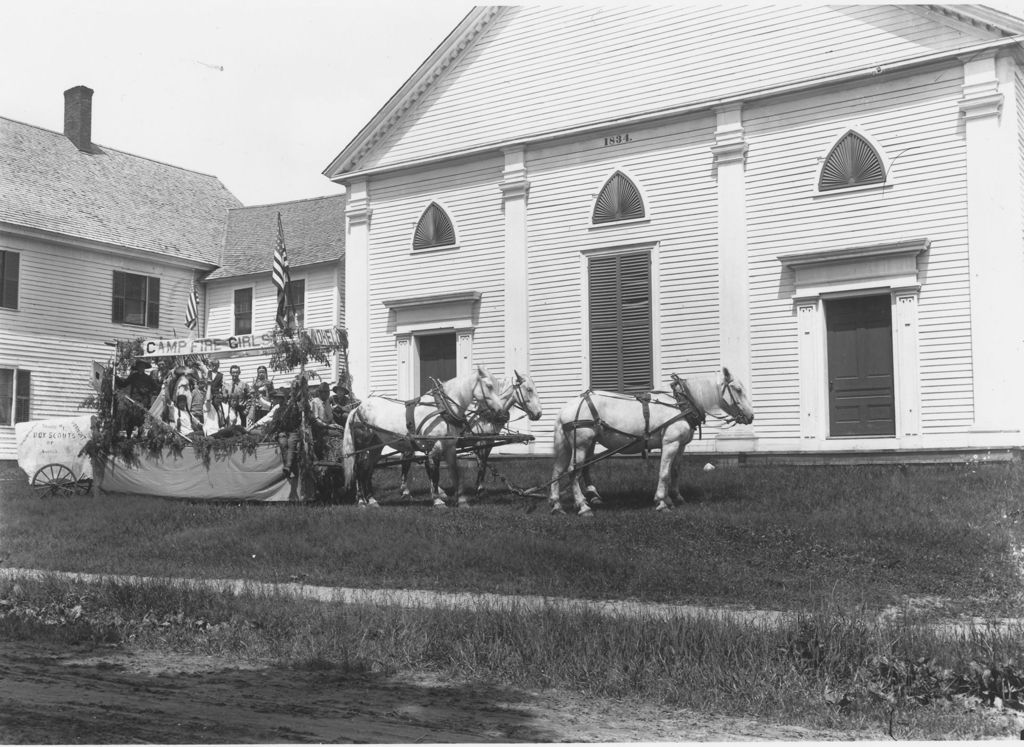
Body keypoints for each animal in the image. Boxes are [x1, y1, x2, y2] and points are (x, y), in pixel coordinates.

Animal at [342, 364, 505, 506]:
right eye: (489, 386)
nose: (501, 412)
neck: (443, 409)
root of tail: (357, 408)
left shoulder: (450, 447)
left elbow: (455, 473)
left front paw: (461, 500)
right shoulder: (435, 447)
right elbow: (435, 474)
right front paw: (438, 500)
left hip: (376, 446)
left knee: (367, 469)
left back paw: (372, 500)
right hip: (362, 445)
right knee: (359, 469)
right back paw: (361, 500)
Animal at [397, 368, 544, 498]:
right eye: (529, 389)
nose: (539, 414)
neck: (485, 414)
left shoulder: (488, 441)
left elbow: (482, 463)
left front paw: (480, 488)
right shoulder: (482, 441)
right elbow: (482, 464)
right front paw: (479, 490)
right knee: (408, 461)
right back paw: (406, 491)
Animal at [552, 364, 753, 516]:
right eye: (738, 389)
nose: (751, 417)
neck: (682, 403)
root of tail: (565, 410)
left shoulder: (679, 445)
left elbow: (674, 471)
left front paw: (674, 498)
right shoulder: (670, 442)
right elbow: (663, 472)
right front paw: (661, 502)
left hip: (574, 445)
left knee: (558, 471)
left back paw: (557, 504)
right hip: (581, 444)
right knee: (573, 471)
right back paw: (583, 506)